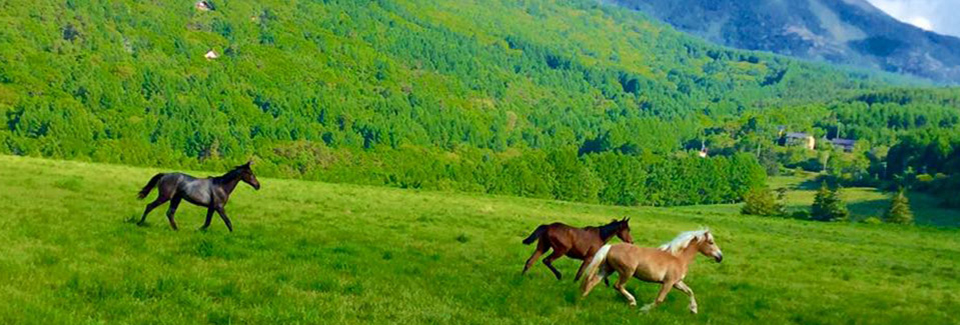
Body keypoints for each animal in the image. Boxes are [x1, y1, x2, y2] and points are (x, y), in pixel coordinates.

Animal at [576, 229, 720, 312]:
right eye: (711, 242)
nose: (720, 257)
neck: (678, 258)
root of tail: (611, 246)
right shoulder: (668, 283)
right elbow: (659, 300)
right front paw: (644, 310)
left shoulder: (677, 283)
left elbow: (690, 291)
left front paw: (693, 310)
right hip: (627, 272)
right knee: (618, 285)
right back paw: (633, 302)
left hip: (607, 269)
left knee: (592, 282)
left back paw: (582, 299)